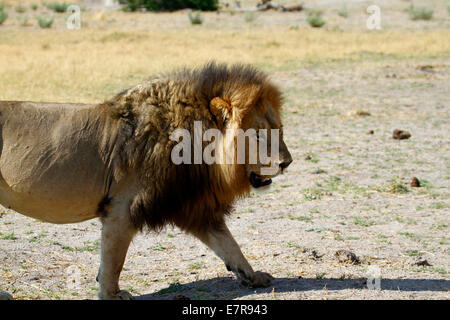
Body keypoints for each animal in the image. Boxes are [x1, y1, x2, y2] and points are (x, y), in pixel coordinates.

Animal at [0, 62, 294, 300]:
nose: (287, 162)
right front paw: (111, 295)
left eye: (278, 129)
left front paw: (253, 276)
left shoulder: (192, 206)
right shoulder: (122, 208)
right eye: (258, 134)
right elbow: (113, 260)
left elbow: (230, 245)